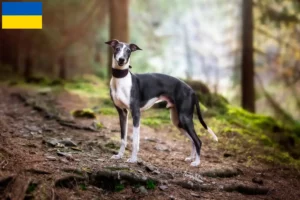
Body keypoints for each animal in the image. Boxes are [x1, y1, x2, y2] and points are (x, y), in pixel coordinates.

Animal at [105, 39, 218, 167]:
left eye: (128, 51)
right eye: (117, 48)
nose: (121, 60)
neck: (121, 79)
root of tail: (192, 90)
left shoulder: (136, 113)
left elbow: (135, 140)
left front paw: (133, 159)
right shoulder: (122, 113)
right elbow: (123, 138)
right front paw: (119, 155)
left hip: (185, 118)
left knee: (198, 141)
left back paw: (197, 162)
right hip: (178, 121)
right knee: (192, 140)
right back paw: (191, 158)